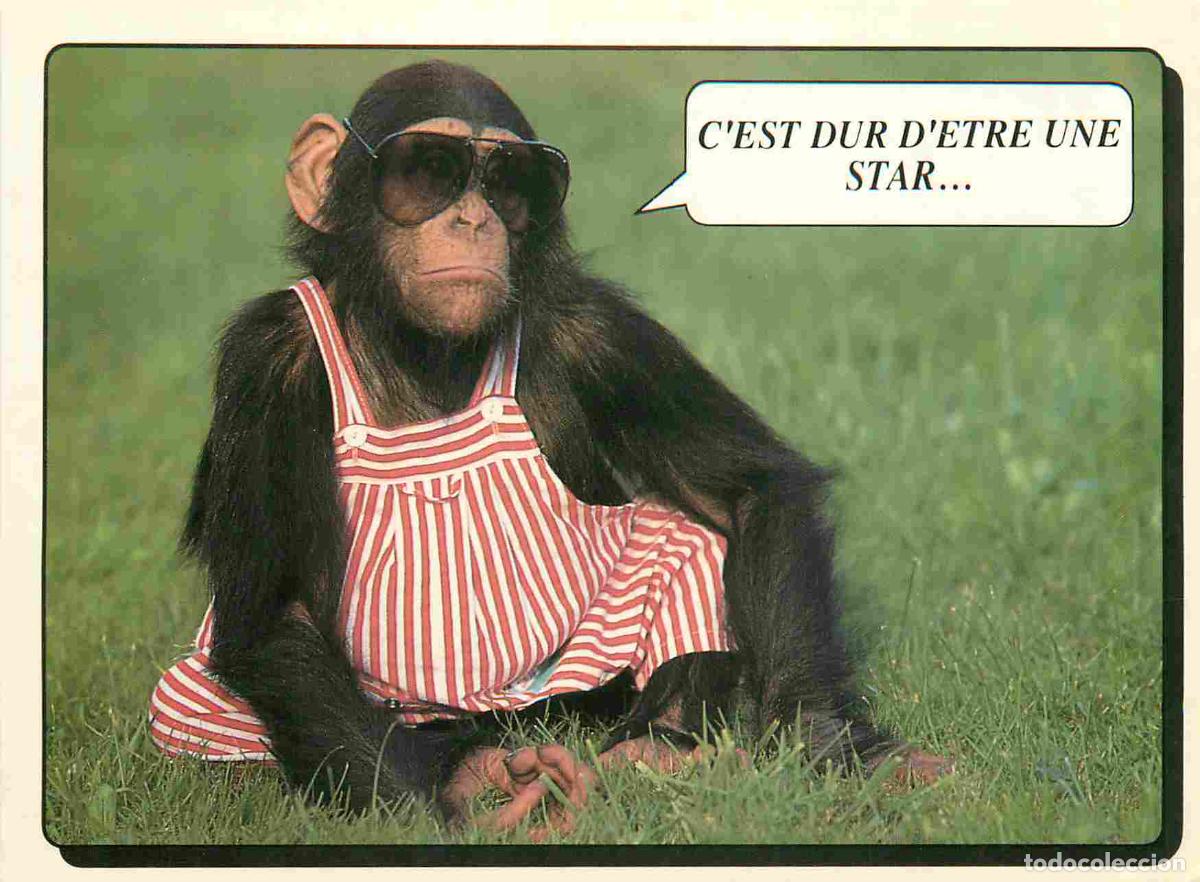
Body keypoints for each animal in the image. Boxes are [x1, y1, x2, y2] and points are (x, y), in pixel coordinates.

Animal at [148, 60, 950, 832]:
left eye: (512, 182)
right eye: (428, 168)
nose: (472, 217)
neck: (418, 350)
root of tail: (526, 722)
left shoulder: (597, 330)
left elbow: (750, 490)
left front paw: (824, 742)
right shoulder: (263, 360)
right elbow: (279, 614)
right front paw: (446, 806)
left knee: (686, 535)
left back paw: (656, 752)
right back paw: (485, 770)